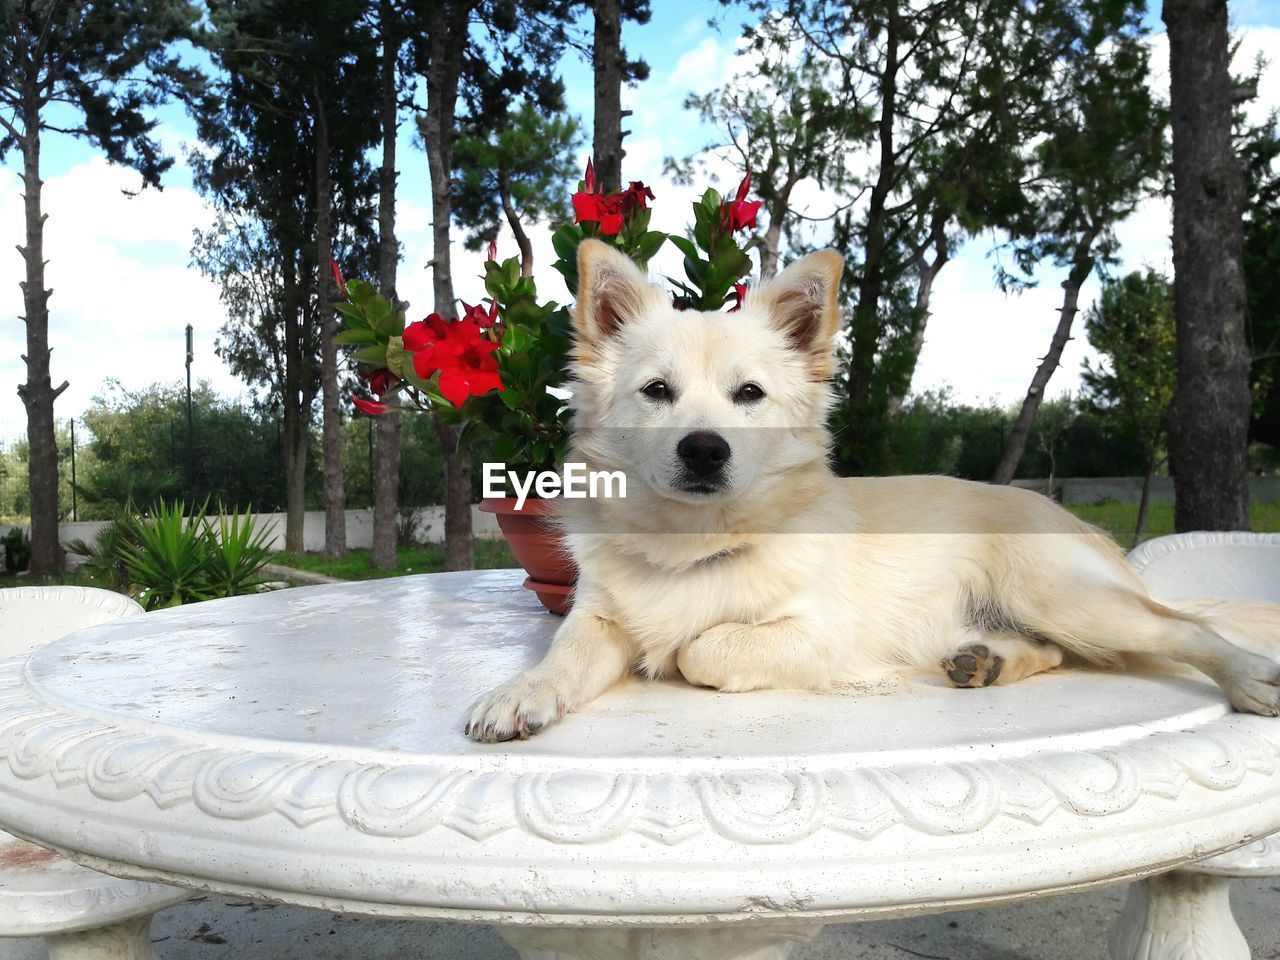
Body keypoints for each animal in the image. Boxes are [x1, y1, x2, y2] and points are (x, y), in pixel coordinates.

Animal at [465, 240, 1280, 742]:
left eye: (749, 395)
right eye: (656, 392)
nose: (704, 448)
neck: (695, 546)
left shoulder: (818, 636)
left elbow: (704, 647)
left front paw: (685, 647)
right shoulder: (599, 620)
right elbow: (565, 658)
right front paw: (521, 691)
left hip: (1065, 596)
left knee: (1182, 632)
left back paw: (1247, 677)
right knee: (1060, 652)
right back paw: (987, 661)